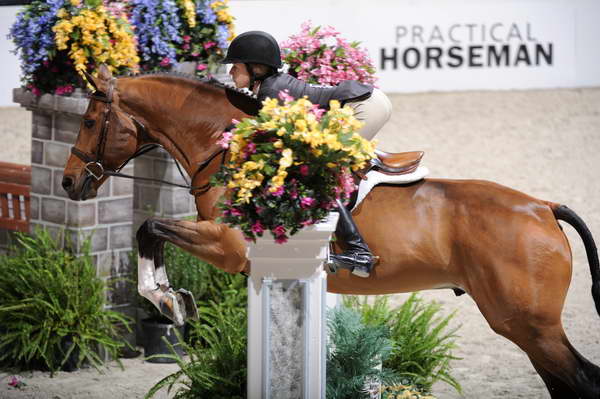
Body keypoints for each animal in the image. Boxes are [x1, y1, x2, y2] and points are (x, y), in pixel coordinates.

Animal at [62, 64, 600, 398]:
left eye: (88, 120)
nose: (69, 183)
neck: (230, 149)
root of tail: (543, 208)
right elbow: (150, 230)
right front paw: (172, 300)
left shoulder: (230, 246)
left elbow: (150, 226)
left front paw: (168, 299)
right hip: (528, 327)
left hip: (528, 324)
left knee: (579, 379)